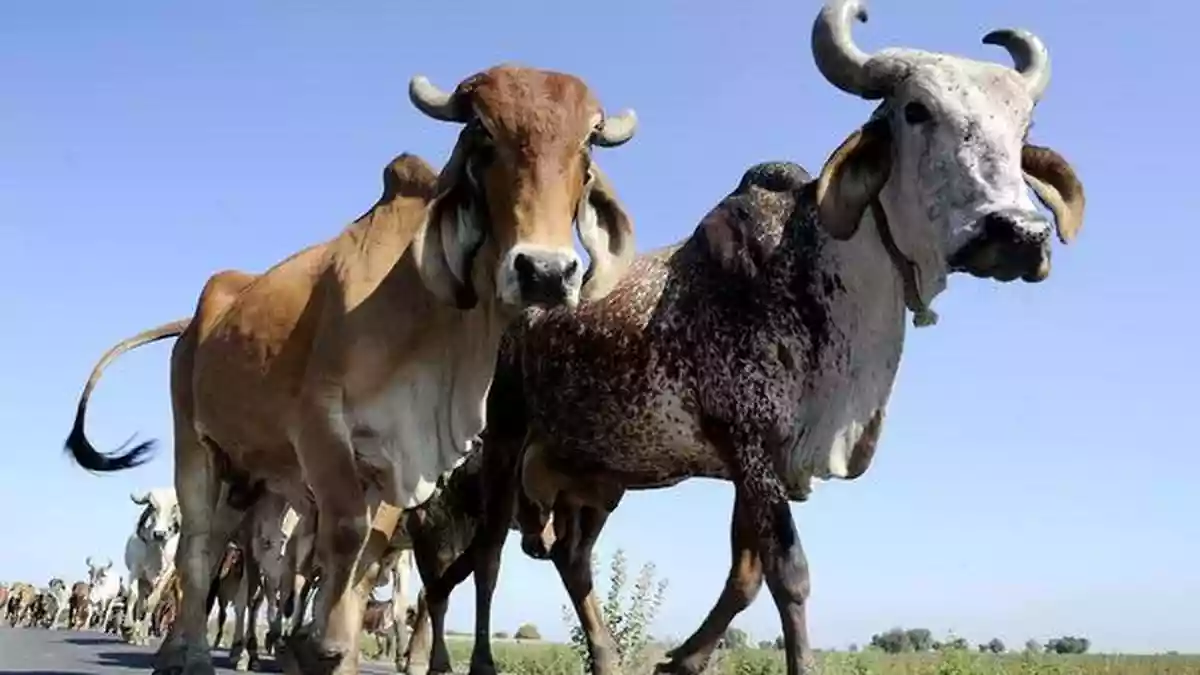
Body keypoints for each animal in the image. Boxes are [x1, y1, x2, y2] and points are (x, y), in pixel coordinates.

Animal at [124, 487, 182, 644]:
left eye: (174, 507)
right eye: (153, 506)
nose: (159, 534)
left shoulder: (167, 574)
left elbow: (152, 602)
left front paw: (143, 635)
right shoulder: (135, 569)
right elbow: (132, 596)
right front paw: (127, 626)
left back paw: (140, 635)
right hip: (143, 582)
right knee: (139, 604)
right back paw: (133, 634)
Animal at [451, 3, 1087, 675]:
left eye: (1024, 126)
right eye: (916, 111)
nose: (1019, 232)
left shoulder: (762, 465)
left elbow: (746, 577)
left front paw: (683, 659)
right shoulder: (750, 443)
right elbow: (789, 574)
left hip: (602, 479)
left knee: (573, 560)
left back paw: (604, 656)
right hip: (506, 437)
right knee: (488, 554)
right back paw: (482, 660)